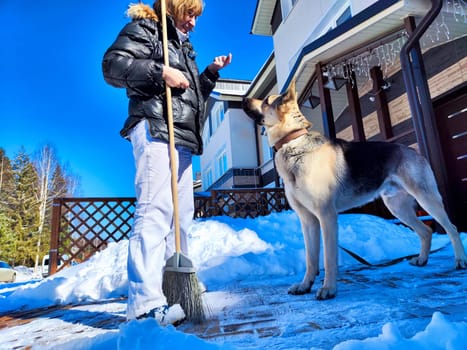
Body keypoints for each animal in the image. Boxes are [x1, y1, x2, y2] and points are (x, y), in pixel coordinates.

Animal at [243, 79, 467, 300]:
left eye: (265, 101)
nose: (244, 98)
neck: (294, 141)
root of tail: (412, 150)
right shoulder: (308, 221)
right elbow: (310, 258)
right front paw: (305, 285)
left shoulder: (327, 217)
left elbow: (328, 258)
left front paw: (329, 289)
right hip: (397, 208)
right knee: (426, 231)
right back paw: (422, 260)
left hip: (427, 199)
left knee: (452, 228)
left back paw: (460, 260)